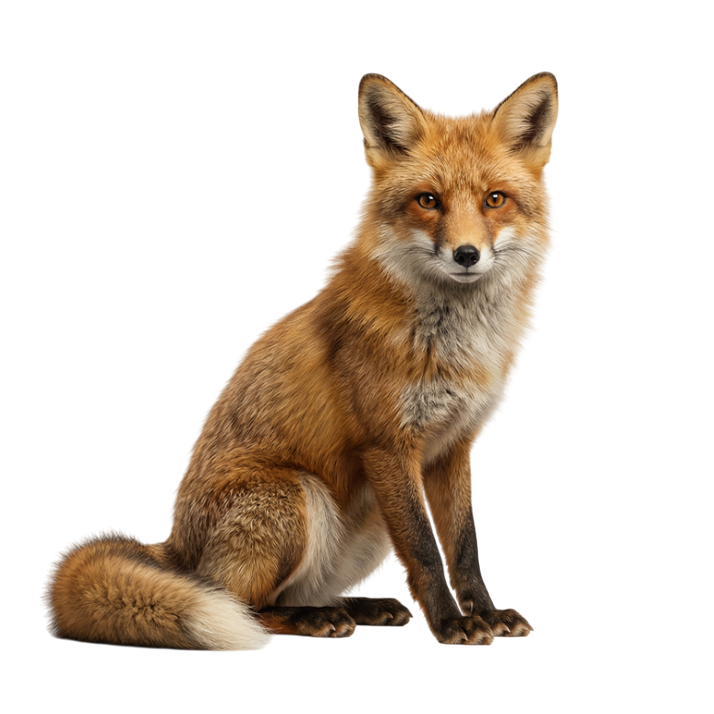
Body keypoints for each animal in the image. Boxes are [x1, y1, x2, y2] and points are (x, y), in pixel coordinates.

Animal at [41, 72, 559, 651]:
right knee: (246, 603)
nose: (467, 254)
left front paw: (485, 615)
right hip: (296, 495)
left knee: (290, 594)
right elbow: (426, 551)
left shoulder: (453, 449)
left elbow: (463, 547)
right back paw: (313, 620)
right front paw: (451, 624)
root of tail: (175, 554)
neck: (458, 344)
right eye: (429, 200)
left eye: (495, 199)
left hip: (366, 529)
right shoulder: (388, 445)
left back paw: (359, 607)